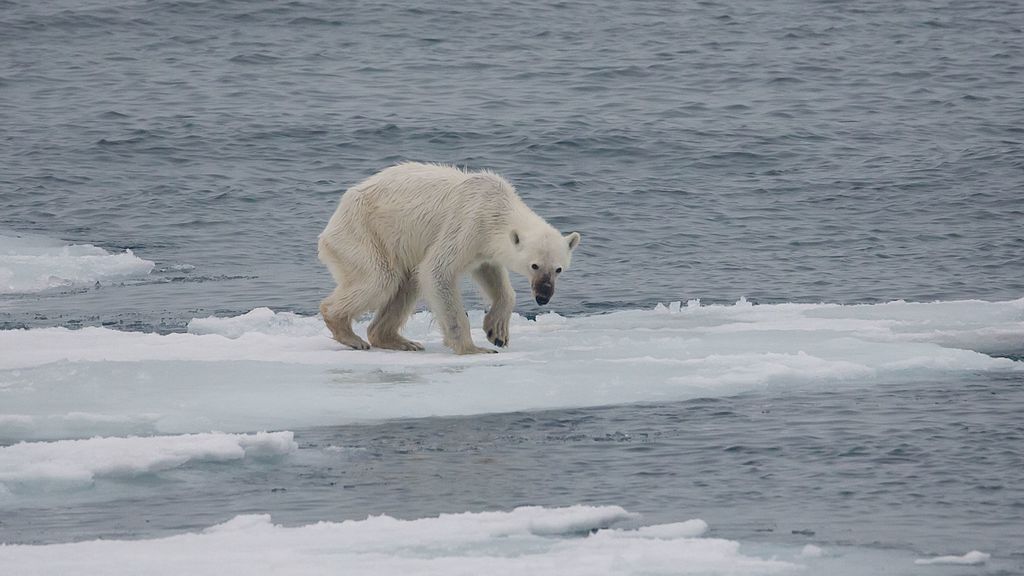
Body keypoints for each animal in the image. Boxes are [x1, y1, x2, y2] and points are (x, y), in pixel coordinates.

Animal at [315, 158, 581, 352]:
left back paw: (399, 341)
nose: (543, 296)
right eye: (534, 265)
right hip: (363, 233)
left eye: (558, 269)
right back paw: (349, 334)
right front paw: (473, 348)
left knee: (407, 283)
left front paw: (497, 332)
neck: (496, 207)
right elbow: (437, 271)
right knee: (381, 279)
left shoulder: (482, 246)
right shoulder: (467, 223)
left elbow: (492, 274)